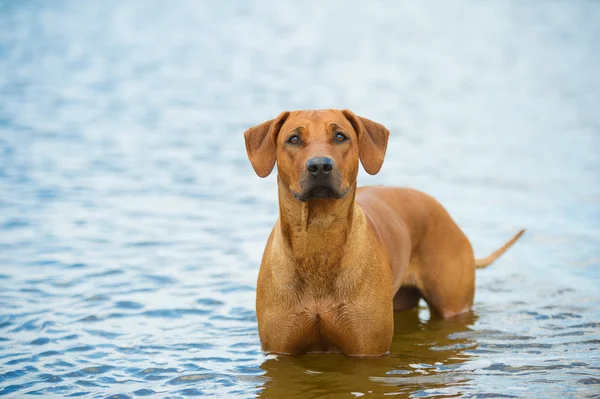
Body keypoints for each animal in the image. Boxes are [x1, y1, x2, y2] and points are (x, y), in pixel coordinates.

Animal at [241, 109, 524, 356]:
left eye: (340, 136)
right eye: (294, 139)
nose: (320, 166)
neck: (318, 242)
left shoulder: (368, 349)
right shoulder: (280, 351)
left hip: (453, 305)